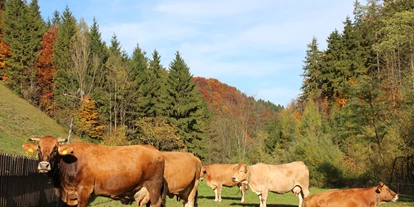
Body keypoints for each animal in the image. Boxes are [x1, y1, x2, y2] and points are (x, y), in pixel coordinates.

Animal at [22, 136, 165, 207]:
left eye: (55, 149)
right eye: (38, 148)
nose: (44, 165)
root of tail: (154, 149)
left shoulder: (84, 190)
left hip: (154, 187)